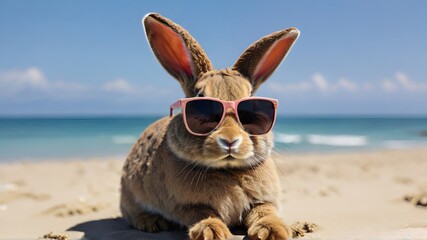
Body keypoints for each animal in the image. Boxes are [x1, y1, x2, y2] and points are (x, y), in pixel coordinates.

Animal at [120, 13, 300, 240]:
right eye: (200, 102)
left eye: (252, 105)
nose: (230, 140)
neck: (227, 170)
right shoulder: (186, 205)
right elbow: (203, 213)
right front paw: (212, 232)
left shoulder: (263, 201)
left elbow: (264, 211)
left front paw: (273, 231)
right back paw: (151, 222)